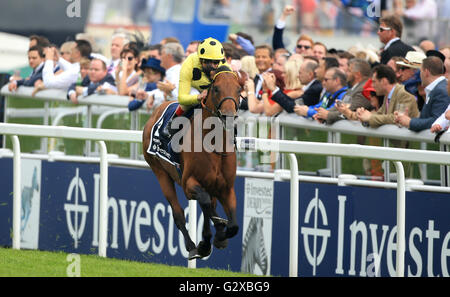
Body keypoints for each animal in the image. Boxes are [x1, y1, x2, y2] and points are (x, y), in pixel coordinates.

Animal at [143, 69, 243, 260]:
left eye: (239, 89)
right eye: (216, 89)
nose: (229, 116)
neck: (214, 145)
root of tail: (156, 110)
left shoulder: (226, 188)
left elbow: (233, 225)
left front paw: (219, 238)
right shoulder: (188, 184)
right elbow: (204, 202)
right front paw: (209, 239)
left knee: (209, 207)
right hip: (159, 171)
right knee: (179, 213)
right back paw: (192, 246)